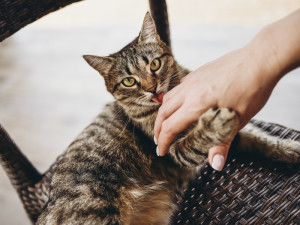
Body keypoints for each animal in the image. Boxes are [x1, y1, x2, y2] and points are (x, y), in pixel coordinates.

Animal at [35, 12, 300, 225]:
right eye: (129, 81)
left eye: (155, 64)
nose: (152, 89)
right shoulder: (173, 150)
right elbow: (197, 141)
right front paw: (214, 124)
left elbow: (260, 139)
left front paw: (290, 149)